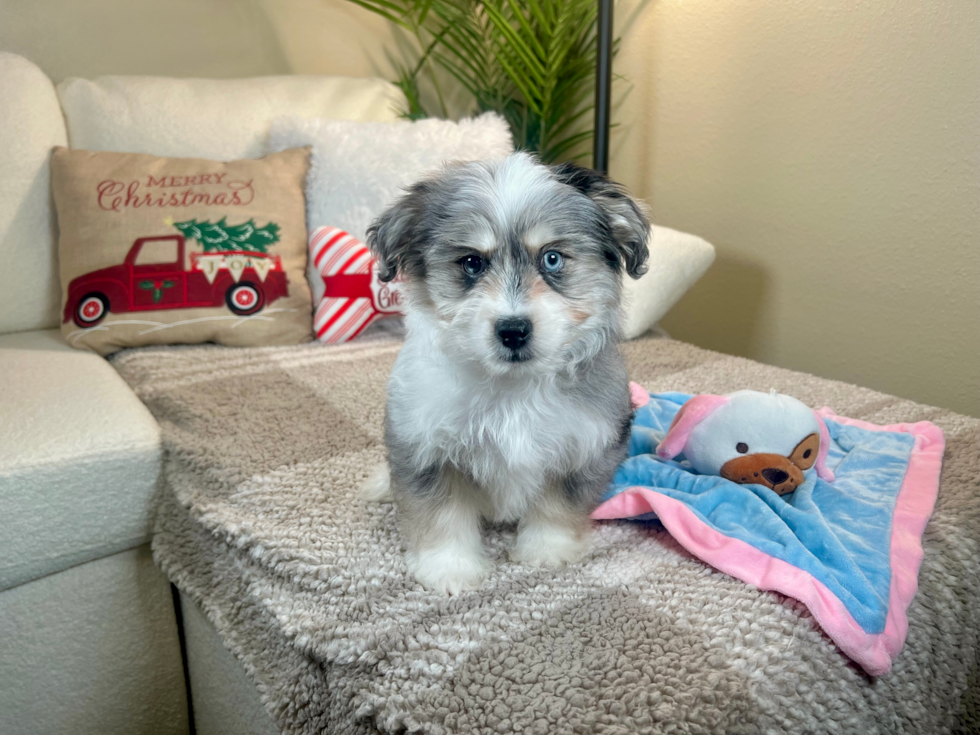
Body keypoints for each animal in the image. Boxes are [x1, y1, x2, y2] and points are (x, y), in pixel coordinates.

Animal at [360, 152, 652, 596]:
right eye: (471, 263)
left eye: (552, 258)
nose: (513, 330)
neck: (514, 389)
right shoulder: (426, 448)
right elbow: (441, 514)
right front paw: (449, 568)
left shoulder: (584, 447)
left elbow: (558, 505)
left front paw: (546, 550)